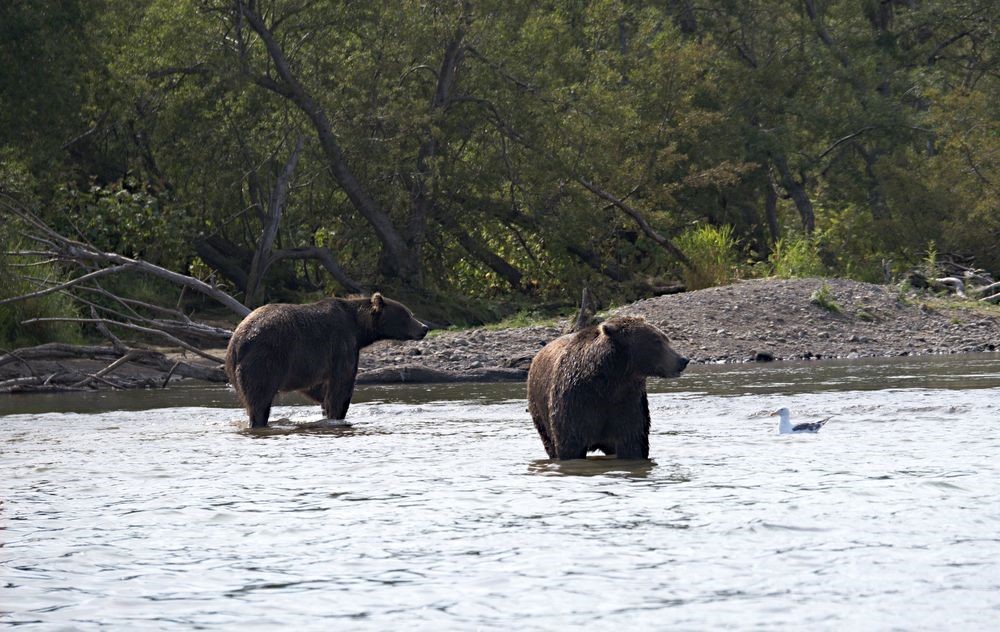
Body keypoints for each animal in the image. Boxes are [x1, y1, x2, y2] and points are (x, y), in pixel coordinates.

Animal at [225, 294, 428, 428]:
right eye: (407, 315)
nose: (424, 327)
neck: (359, 329)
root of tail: (238, 340)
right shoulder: (341, 345)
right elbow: (341, 387)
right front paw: (338, 415)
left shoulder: (311, 364)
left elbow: (319, 388)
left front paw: (325, 410)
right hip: (265, 359)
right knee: (259, 399)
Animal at [532, 316, 688, 460]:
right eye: (656, 341)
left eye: (665, 338)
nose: (683, 360)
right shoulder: (575, 403)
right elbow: (570, 444)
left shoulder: (628, 402)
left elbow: (632, 441)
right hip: (539, 411)